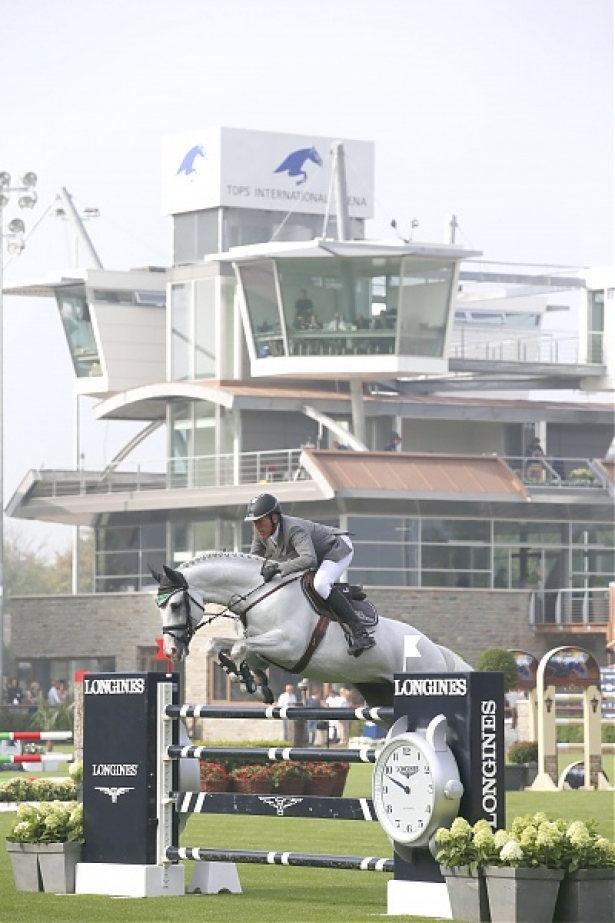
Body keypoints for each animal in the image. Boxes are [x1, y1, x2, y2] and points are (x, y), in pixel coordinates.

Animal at [153, 552, 472, 712]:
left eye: (176, 604)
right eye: (160, 607)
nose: (171, 650)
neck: (259, 594)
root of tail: (435, 649)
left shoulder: (288, 646)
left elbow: (239, 648)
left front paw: (246, 681)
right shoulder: (263, 646)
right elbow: (219, 645)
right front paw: (250, 680)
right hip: (380, 696)